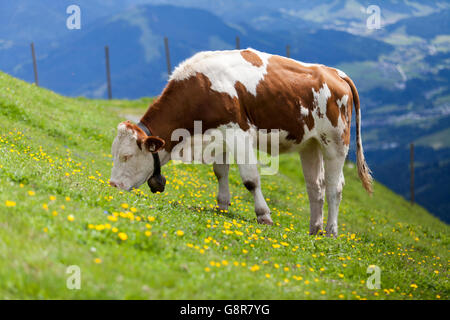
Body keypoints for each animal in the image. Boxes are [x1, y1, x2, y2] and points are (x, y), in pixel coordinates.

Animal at [110, 48, 372, 238]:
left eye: (126, 156)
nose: (112, 185)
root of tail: (334, 72)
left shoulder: (239, 131)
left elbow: (250, 179)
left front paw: (264, 215)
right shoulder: (220, 136)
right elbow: (220, 172)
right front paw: (222, 205)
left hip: (336, 141)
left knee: (335, 187)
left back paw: (330, 232)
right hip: (310, 144)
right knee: (315, 186)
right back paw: (314, 229)